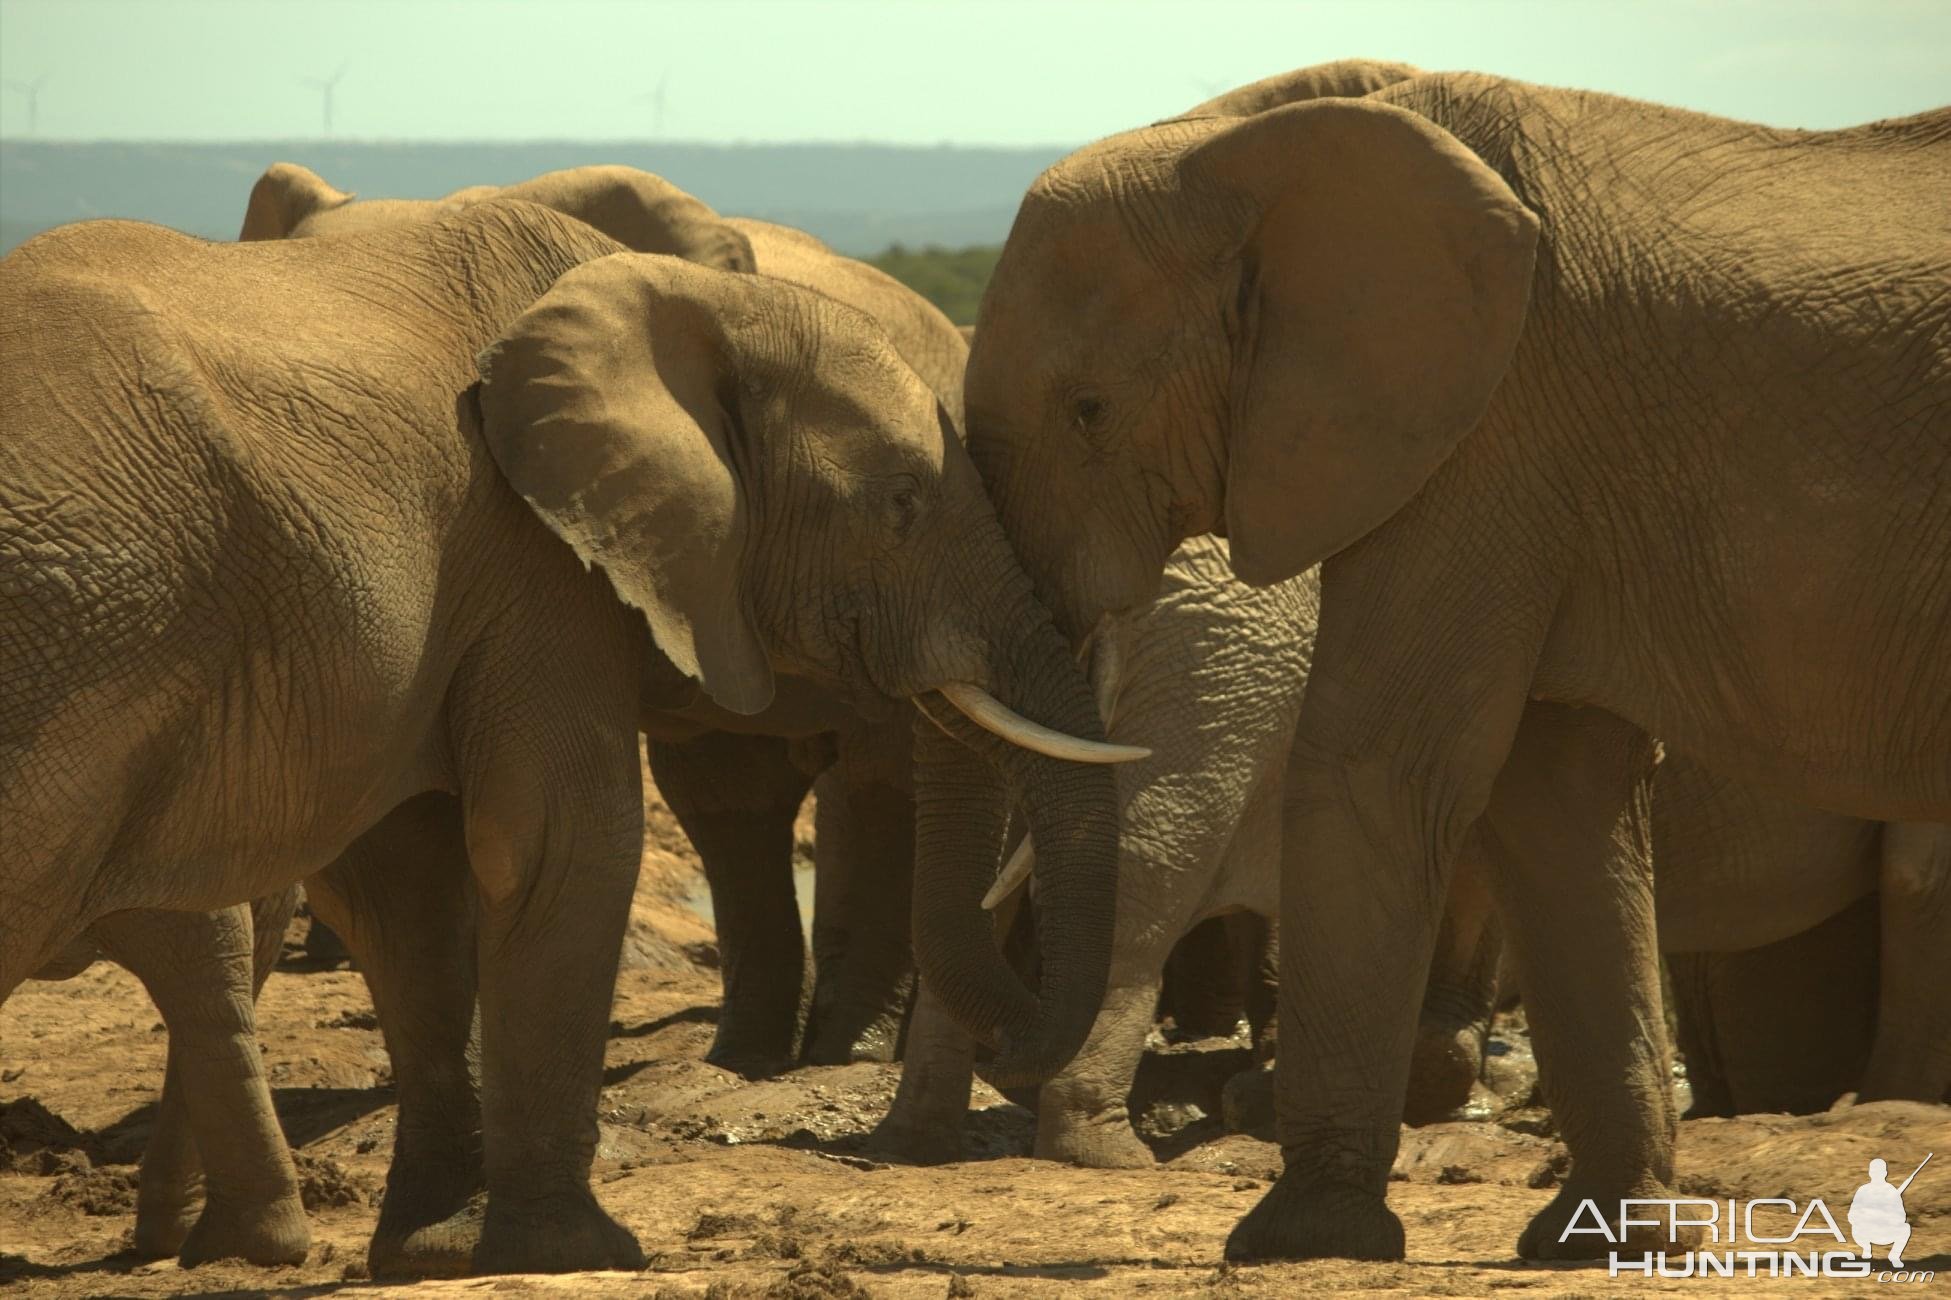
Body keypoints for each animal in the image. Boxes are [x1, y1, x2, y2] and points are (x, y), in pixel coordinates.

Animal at [948, 60, 1951, 1264]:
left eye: (1089, 411)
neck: (1239, 142)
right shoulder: (1510, 455)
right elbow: (1551, 796)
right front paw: (1595, 1240)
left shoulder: (1490, 429)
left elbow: (1376, 762)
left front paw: (1294, 1236)